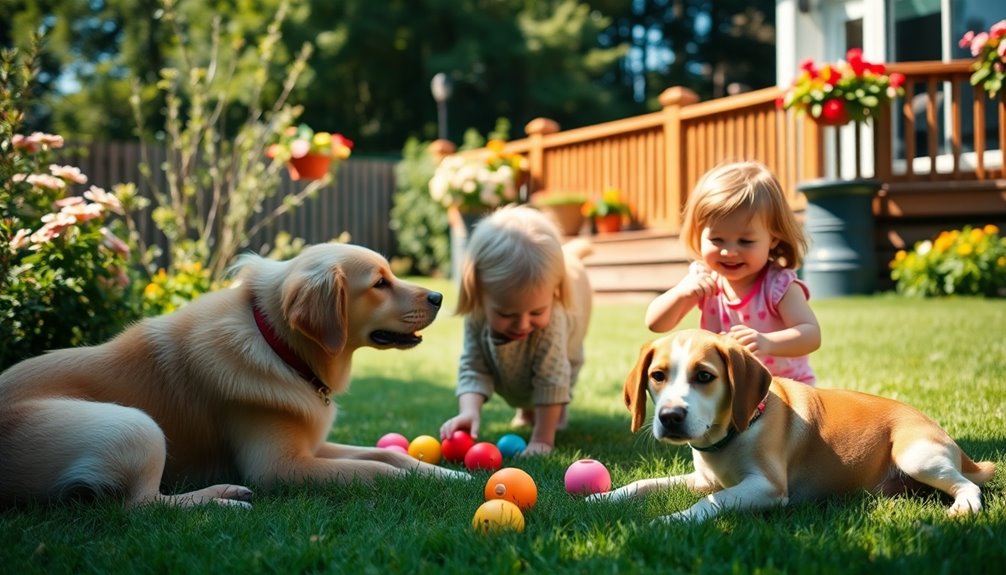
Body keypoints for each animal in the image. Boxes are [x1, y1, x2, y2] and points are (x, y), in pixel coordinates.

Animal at [591, 327, 993, 522]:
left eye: (704, 376)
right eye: (657, 376)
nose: (670, 417)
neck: (735, 433)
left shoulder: (766, 487)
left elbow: (711, 503)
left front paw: (667, 521)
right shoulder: (703, 479)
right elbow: (645, 483)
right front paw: (602, 497)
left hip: (918, 457)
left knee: (969, 486)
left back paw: (965, 507)